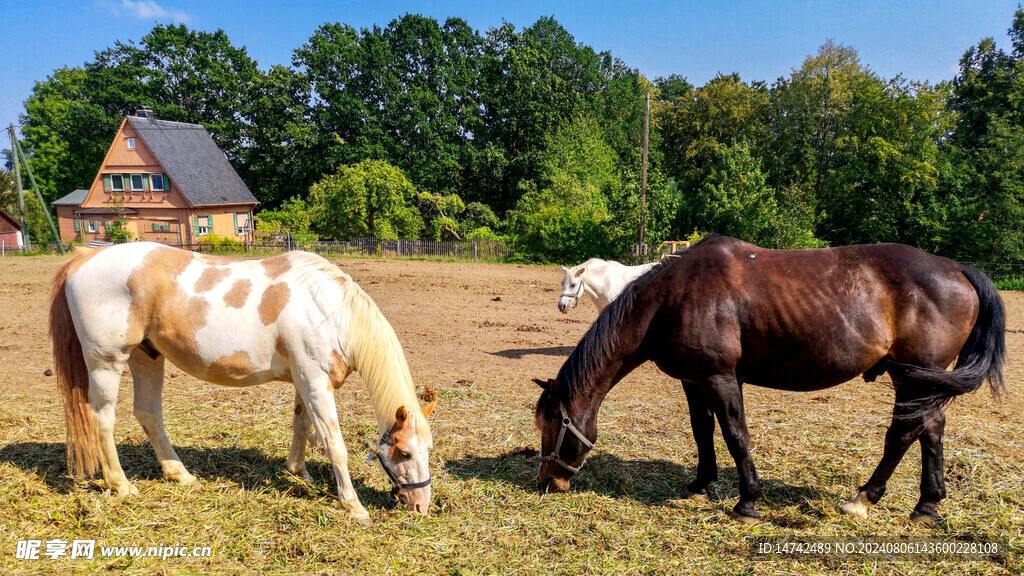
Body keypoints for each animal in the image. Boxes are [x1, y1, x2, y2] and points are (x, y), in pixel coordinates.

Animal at [49, 242, 437, 524]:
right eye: (404, 452)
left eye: (428, 450)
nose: (421, 505)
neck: (328, 310)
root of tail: (85, 257)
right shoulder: (315, 382)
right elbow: (334, 444)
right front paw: (353, 506)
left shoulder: (304, 382)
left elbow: (301, 426)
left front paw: (298, 472)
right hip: (107, 362)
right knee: (103, 418)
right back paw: (121, 485)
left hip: (148, 356)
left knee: (148, 414)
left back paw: (180, 475)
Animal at [534, 235, 1004, 524]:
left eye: (554, 424)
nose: (547, 483)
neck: (671, 298)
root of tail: (956, 269)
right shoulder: (694, 380)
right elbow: (702, 431)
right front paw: (700, 484)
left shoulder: (721, 378)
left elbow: (735, 435)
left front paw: (748, 501)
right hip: (923, 382)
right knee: (931, 429)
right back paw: (927, 505)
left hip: (912, 377)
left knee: (904, 433)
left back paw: (864, 498)